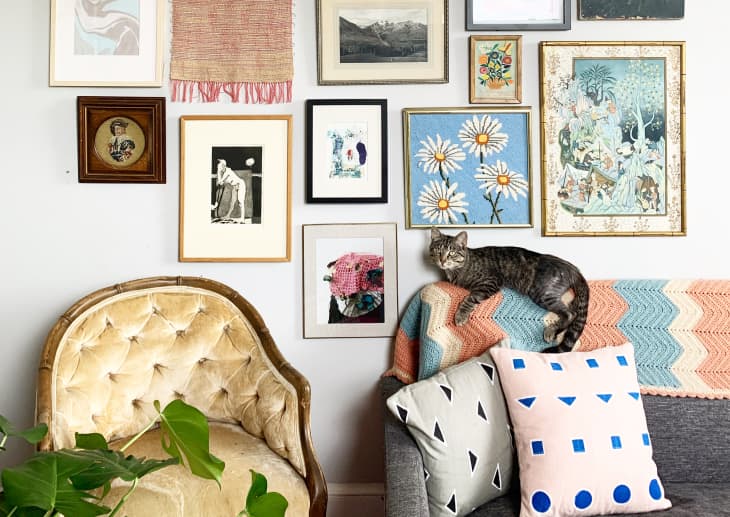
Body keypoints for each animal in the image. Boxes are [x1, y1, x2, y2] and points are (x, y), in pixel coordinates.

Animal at [426, 229, 584, 352]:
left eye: (451, 253)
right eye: (438, 250)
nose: (442, 260)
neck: (458, 270)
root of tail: (572, 267)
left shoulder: (490, 282)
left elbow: (470, 298)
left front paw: (461, 315)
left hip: (542, 293)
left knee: (571, 313)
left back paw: (552, 330)